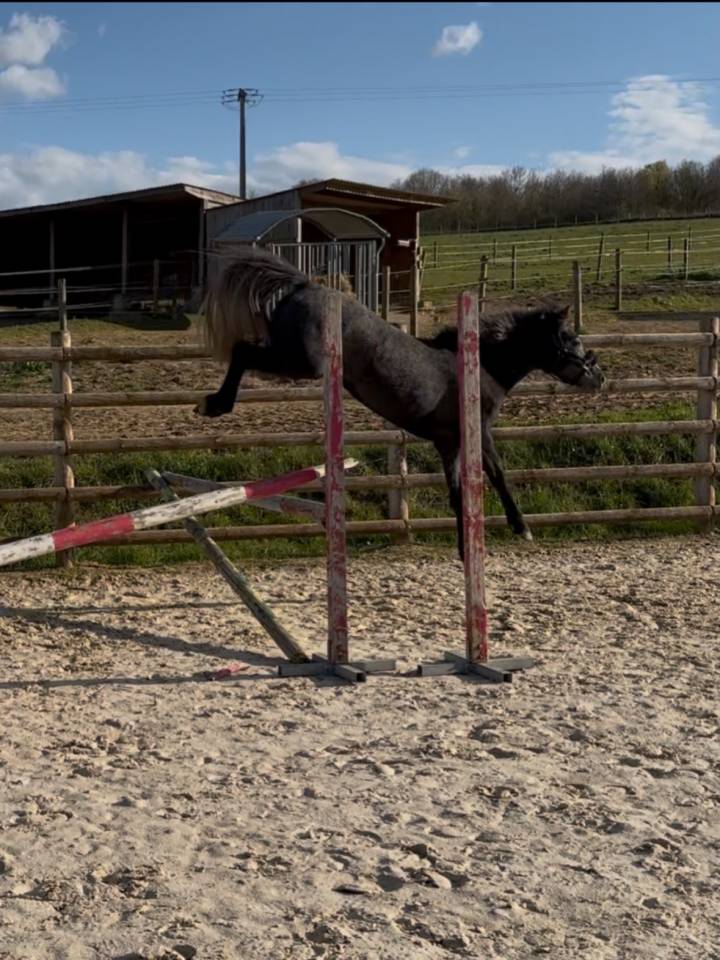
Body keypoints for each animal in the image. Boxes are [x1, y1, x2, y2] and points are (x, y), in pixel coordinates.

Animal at [195, 247, 605, 558]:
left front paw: (471, 548)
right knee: (242, 351)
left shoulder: (451, 442)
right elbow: (492, 478)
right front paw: (516, 530)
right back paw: (213, 405)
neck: (480, 366)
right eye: (571, 338)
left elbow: (464, 491)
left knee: (243, 351)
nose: (598, 378)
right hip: (300, 361)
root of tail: (304, 285)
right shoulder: (472, 435)